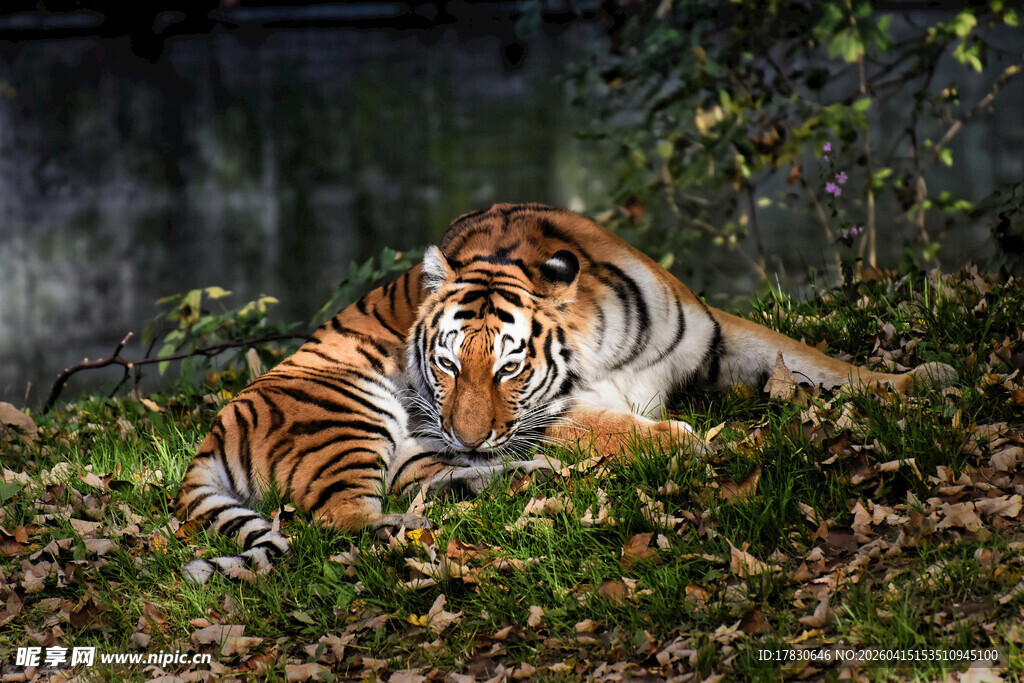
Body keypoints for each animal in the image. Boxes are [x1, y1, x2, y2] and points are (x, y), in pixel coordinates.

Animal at [176, 203, 955, 583]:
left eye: (508, 369)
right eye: (447, 365)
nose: (464, 434)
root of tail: (212, 432)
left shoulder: (716, 338)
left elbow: (814, 358)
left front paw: (920, 379)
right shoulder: (555, 414)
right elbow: (623, 427)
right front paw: (691, 444)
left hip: (414, 451)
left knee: (429, 485)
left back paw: (511, 486)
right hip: (351, 407)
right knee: (339, 520)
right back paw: (417, 528)